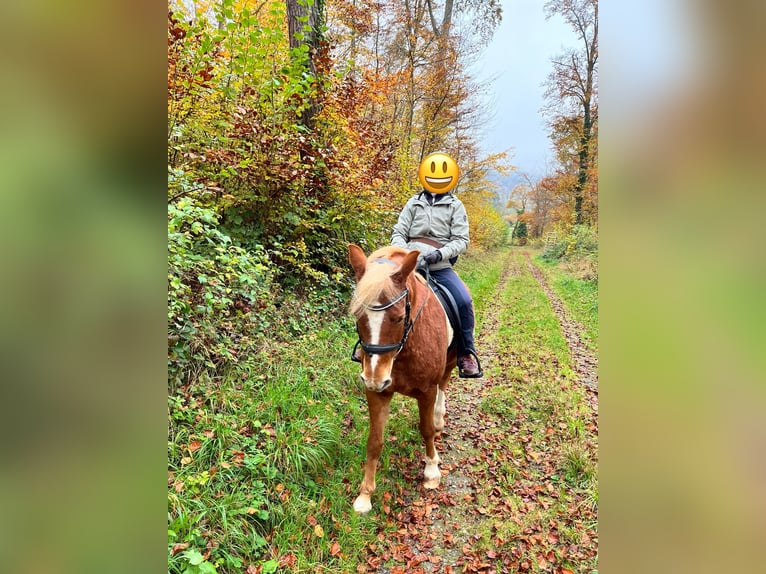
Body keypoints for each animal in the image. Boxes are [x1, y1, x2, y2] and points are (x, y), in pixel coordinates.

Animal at [352, 245, 460, 516]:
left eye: (399, 318)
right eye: (357, 315)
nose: (374, 378)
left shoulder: (427, 390)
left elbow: (427, 430)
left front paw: (431, 472)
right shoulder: (377, 393)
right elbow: (374, 441)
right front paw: (365, 495)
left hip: (452, 360)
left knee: (444, 385)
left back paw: (439, 417)